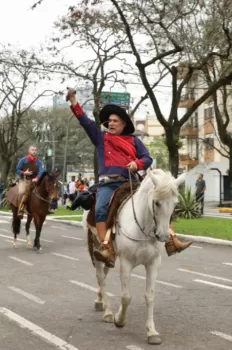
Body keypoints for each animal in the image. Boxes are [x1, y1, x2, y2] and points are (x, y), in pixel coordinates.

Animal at [83, 170, 185, 344]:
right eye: (156, 203)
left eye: (175, 203)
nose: (164, 236)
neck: (143, 227)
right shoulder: (126, 263)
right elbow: (126, 297)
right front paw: (119, 320)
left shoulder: (153, 263)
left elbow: (150, 296)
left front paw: (152, 332)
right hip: (97, 248)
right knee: (101, 277)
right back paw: (108, 312)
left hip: (109, 257)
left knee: (104, 273)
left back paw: (99, 301)